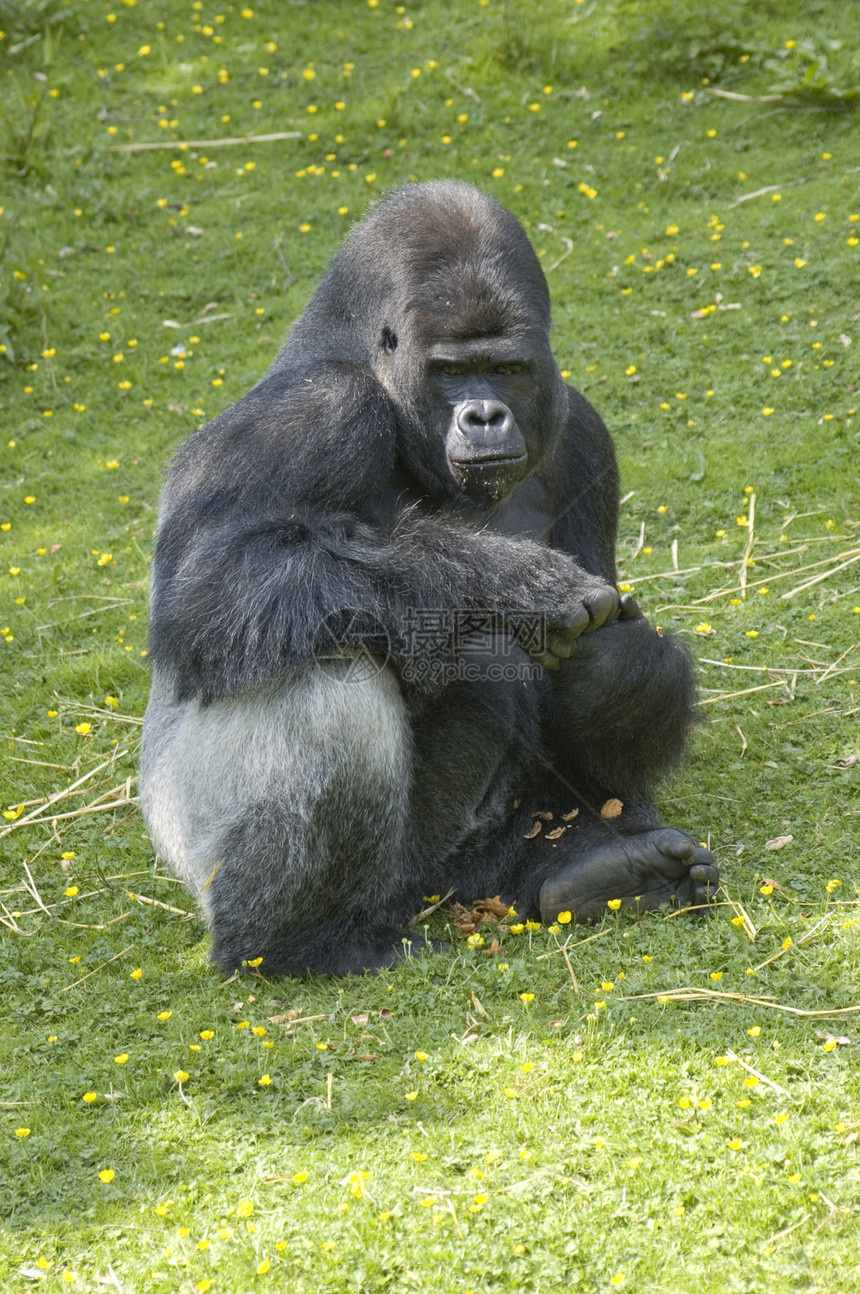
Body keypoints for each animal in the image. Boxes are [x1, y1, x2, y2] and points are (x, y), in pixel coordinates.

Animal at [139, 177, 719, 973]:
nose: (484, 415)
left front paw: (619, 663)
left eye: (504, 369)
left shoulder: (581, 433)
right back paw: (303, 942)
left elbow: (609, 640)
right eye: (448, 372)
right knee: (324, 670)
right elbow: (210, 589)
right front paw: (513, 587)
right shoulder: (316, 409)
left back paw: (591, 869)